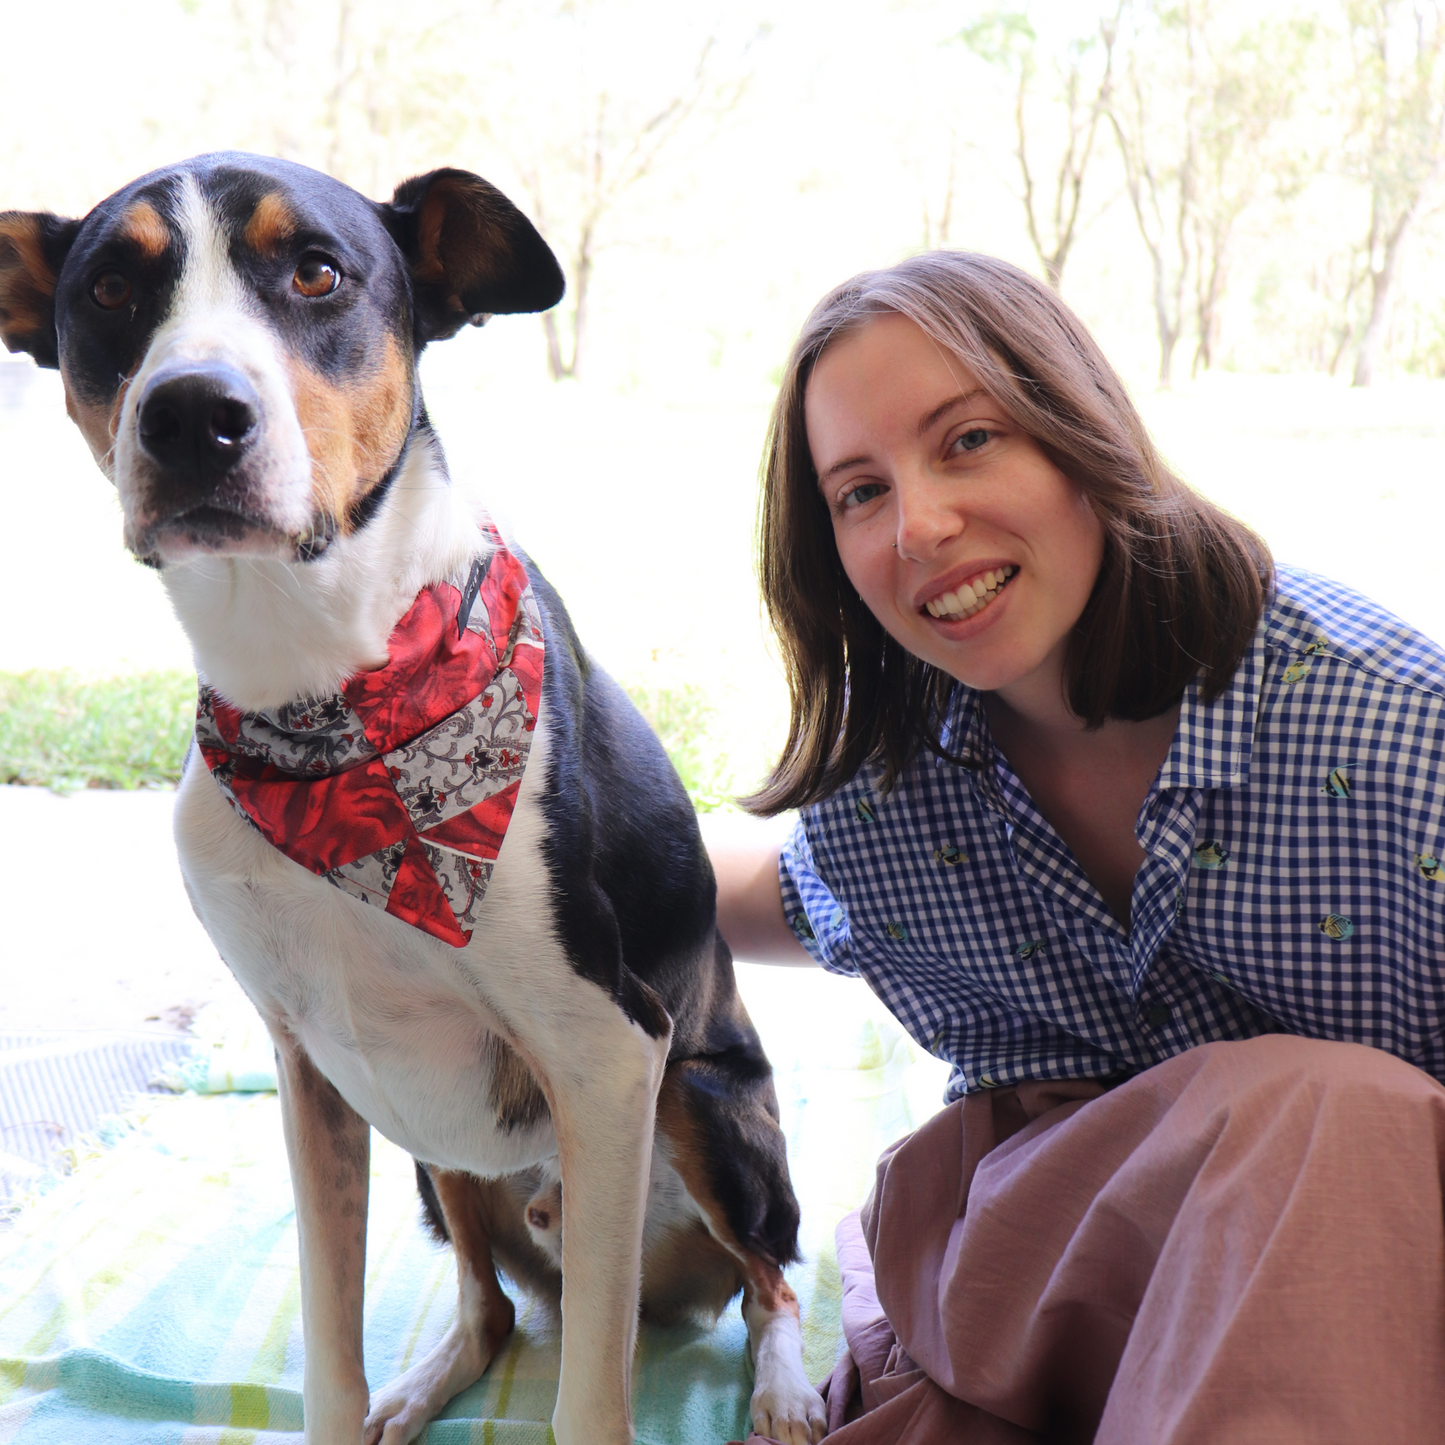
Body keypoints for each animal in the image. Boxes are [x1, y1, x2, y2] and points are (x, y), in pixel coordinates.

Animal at [0, 158, 832, 1445]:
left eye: (316, 271)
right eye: (108, 289)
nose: (191, 414)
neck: (323, 705)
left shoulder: (609, 1051)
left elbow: (591, 1402)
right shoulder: (308, 1071)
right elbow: (330, 1353)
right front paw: (361, 1397)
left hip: (701, 1104)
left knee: (768, 1278)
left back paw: (785, 1388)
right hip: (439, 1155)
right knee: (490, 1310)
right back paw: (428, 1377)